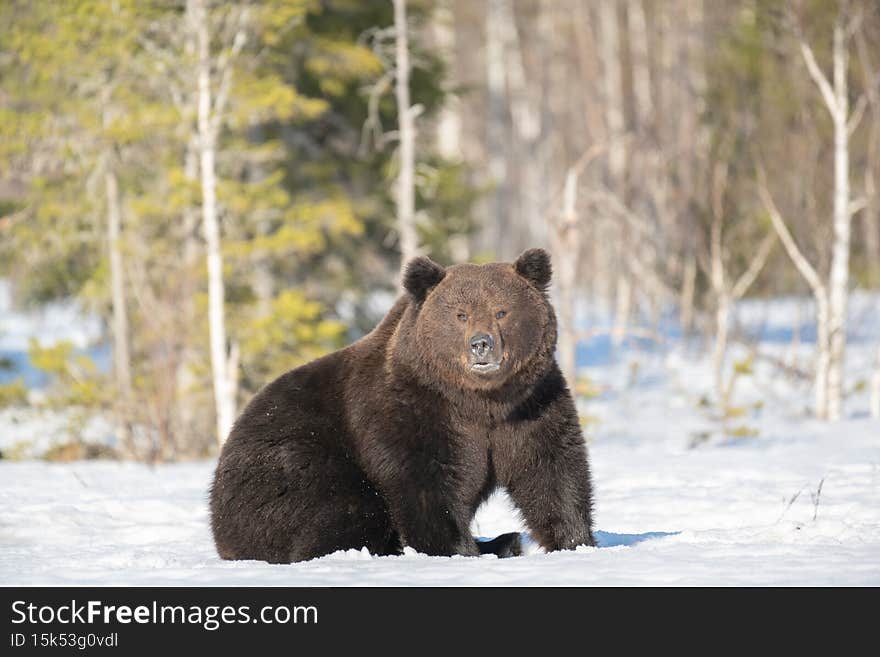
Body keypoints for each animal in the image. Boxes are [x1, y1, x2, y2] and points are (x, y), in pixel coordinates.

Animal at [209, 248, 594, 563]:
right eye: (461, 315)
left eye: (502, 311)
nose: (481, 345)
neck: (479, 402)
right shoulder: (411, 409)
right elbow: (426, 483)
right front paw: (456, 549)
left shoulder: (530, 405)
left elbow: (552, 468)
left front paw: (574, 541)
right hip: (291, 463)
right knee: (339, 507)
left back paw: (505, 540)